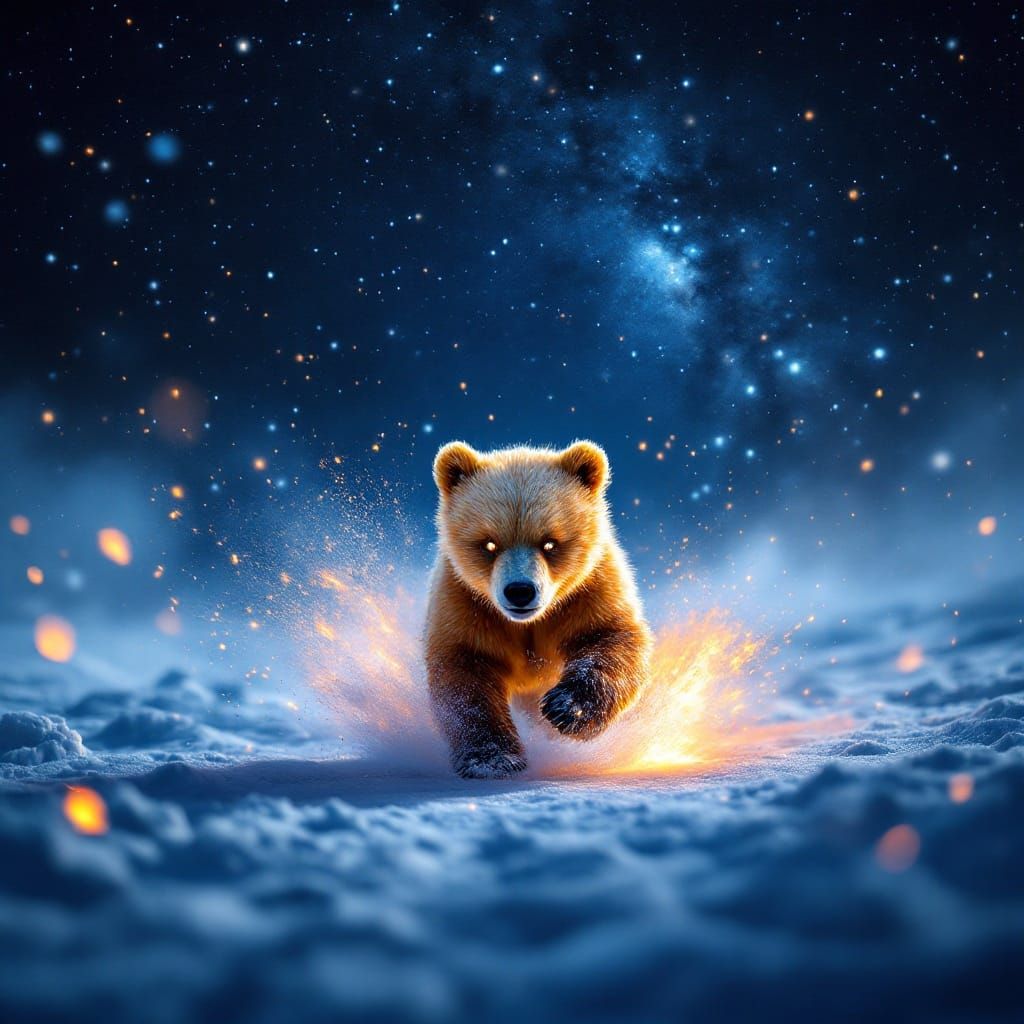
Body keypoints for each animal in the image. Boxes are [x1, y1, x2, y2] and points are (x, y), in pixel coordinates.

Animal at [425, 440, 652, 779]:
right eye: (489, 544)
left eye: (550, 543)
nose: (520, 591)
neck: (527, 624)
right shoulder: (465, 605)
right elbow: (464, 678)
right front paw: (492, 760)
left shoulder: (587, 592)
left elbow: (611, 639)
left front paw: (567, 708)